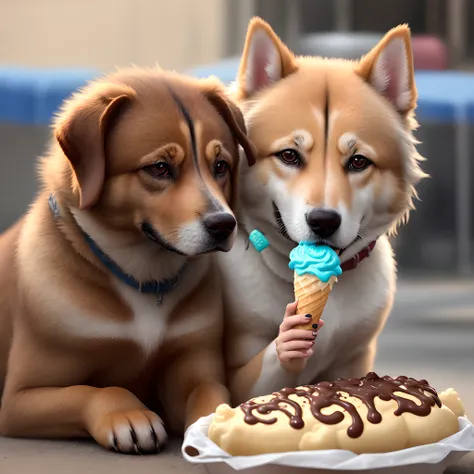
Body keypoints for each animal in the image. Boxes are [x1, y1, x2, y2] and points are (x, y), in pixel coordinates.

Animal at [0, 68, 256, 454]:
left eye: (221, 166)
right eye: (160, 168)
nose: (224, 225)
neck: (143, 277)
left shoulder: (194, 366)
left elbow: (210, 393)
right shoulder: (19, 398)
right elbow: (97, 391)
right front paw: (129, 416)